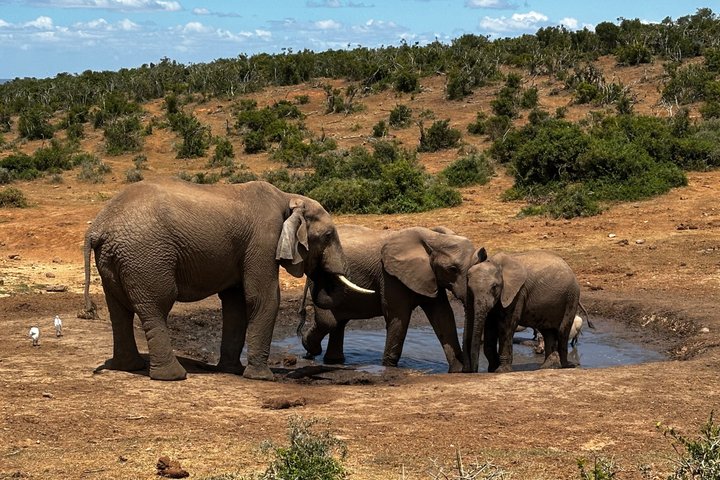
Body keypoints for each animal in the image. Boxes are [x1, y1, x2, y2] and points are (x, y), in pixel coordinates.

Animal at [81, 179, 372, 381]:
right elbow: (262, 298)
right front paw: (262, 378)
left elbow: (236, 303)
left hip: (117, 258)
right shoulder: (263, 240)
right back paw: (173, 377)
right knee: (156, 306)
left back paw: (129, 367)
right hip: (146, 256)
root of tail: (98, 227)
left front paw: (232, 370)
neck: (288, 197)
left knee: (119, 310)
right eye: (328, 236)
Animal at [298, 225, 485, 372]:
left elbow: (443, 316)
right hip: (320, 278)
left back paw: (332, 360)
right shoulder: (390, 276)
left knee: (338, 323)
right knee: (329, 322)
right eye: (452, 269)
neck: (434, 237)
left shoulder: (429, 275)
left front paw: (457, 371)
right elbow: (398, 317)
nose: (471, 369)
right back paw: (308, 348)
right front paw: (388, 368)